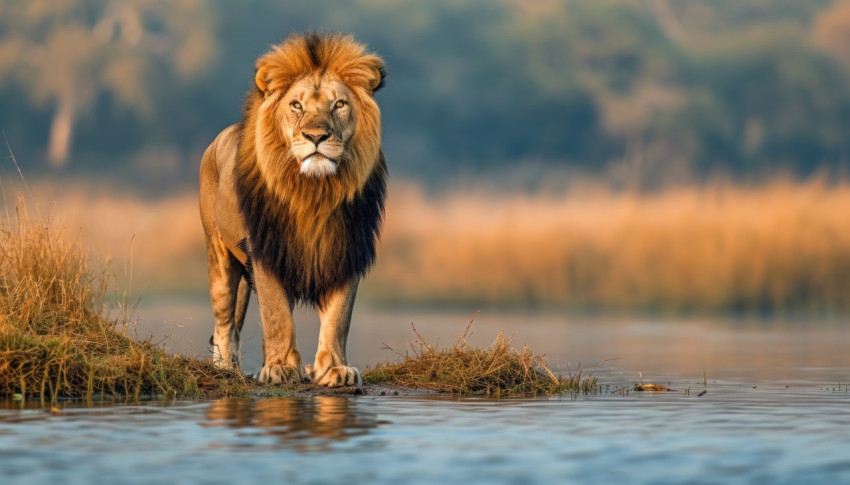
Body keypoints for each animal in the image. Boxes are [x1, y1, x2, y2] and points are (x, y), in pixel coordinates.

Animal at [197, 32, 386, 388]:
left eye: (339, 105)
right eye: (296, 105)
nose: (316, 136)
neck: (313, 193)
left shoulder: (345, 249)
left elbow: (338, 318)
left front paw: (334, 369)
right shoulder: (265, 251)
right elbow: (276, 316)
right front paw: (281, 368)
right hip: (219, 255)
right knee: (225, 321)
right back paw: (225, 369)